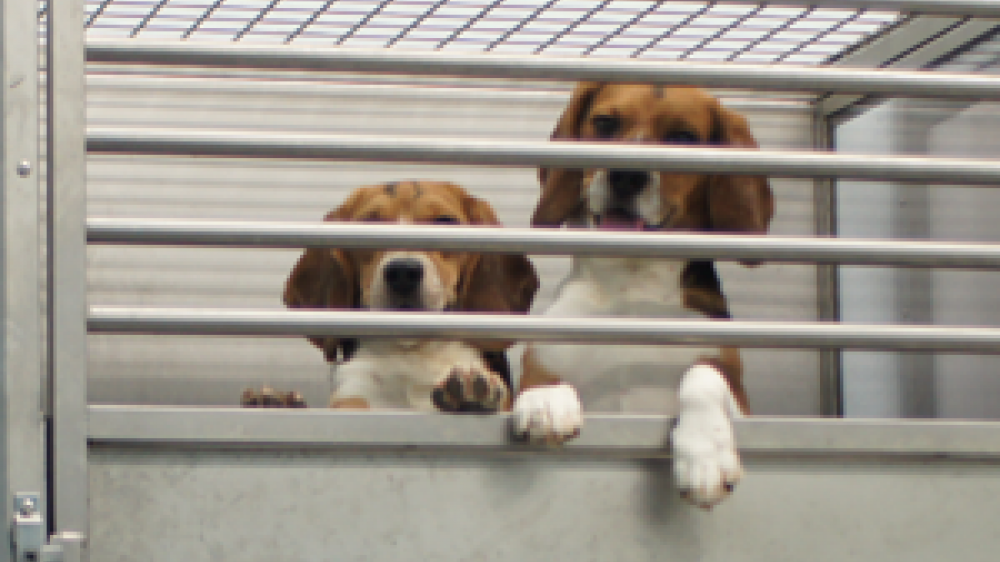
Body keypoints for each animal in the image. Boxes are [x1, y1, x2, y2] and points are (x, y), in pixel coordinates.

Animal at [243, 182, 540, 414]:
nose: (403, 272)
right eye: (369, 226)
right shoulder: (355, 395)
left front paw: (472, 393)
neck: (413, 352)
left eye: (445, 222)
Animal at [512, 83, 776, 508]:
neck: (630, 286)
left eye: (683, 138)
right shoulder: (546, 355)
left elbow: (704, 373)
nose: (626, 174)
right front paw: (545, 400)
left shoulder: (742, 400)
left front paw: (705, 454)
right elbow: (541, 380)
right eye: (604, 123)